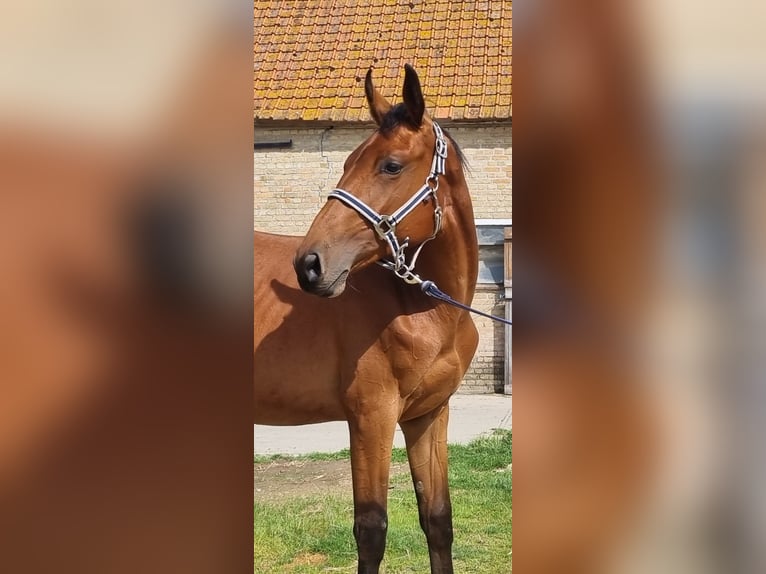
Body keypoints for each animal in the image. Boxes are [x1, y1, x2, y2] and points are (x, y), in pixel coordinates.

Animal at [254, 64, 480, 574]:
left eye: (391, 165)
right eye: (345, 163)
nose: (309, 265)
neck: (420, 307)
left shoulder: (428, 416)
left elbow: (438, 519)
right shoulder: (371, 416)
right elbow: (371, 530)